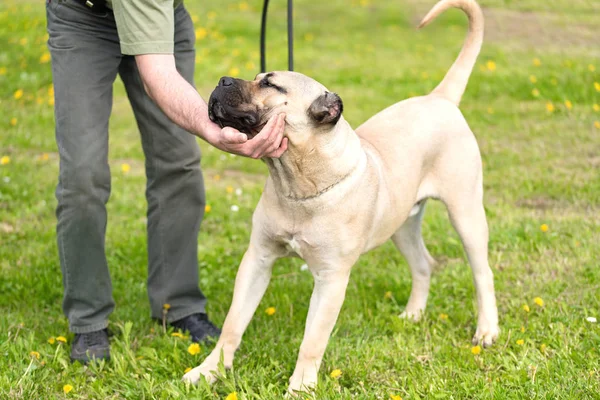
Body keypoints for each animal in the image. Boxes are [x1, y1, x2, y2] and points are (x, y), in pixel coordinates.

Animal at [183, 0, 496, 394]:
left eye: (270, 83)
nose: (222, 80)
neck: (299, 184)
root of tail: (439, 99)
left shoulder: (331, 280)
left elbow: (312, 340)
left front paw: (299, 388)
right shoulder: (257, 259)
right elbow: (233, 324)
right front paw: (209, 372)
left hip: (466, 213)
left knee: (482, 273)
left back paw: (486, 331)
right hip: (402, 226)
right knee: (424, 264)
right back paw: (412, 315)